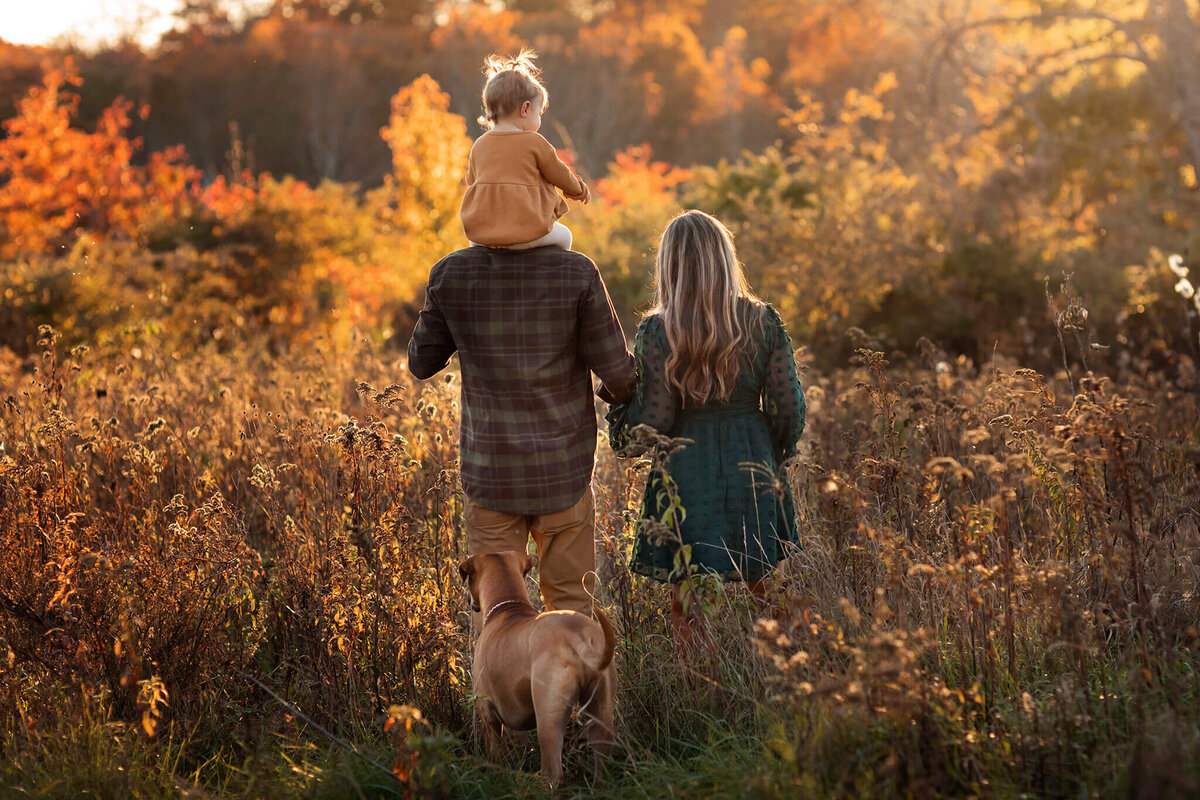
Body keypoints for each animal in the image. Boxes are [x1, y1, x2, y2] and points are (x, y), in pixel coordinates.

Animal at [456, 551, 614, 786]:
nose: (468, 600)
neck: (507, 607)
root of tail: (577, 634)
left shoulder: (488, 716)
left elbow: (495, 756)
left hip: (548, 720)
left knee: (555, 773)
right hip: (601, 713)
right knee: (600, 766)